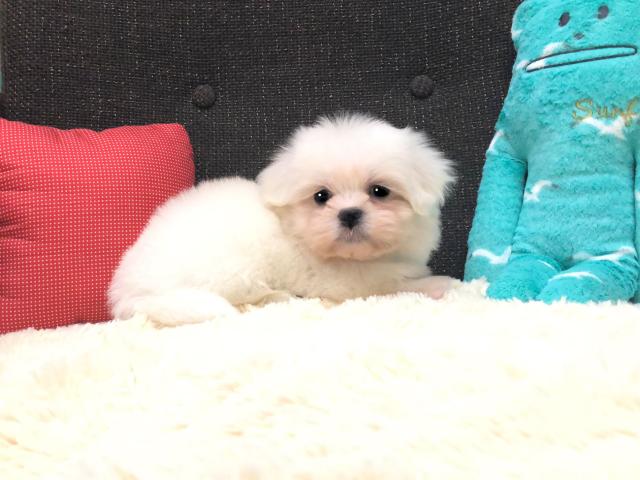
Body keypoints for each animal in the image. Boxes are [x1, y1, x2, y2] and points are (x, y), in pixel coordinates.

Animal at [109, 113, 455, 325]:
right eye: (321, 196)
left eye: (380, 191)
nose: (349, 214)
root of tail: (128, 289)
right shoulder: (345, 282)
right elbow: (391, 283)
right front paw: (438, 284)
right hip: (234, 271)